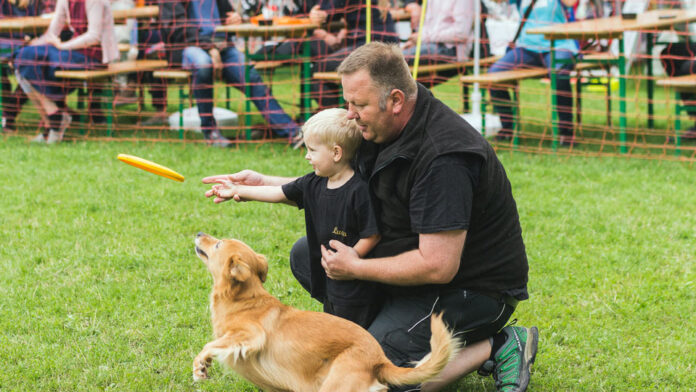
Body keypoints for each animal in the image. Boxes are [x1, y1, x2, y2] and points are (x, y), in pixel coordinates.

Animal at [193, 233, 460, 392]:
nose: (198, 234)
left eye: (218, 244)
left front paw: (200, 366)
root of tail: (379, 360)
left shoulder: (251, 335)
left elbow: (210, 345)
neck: (243, 300)